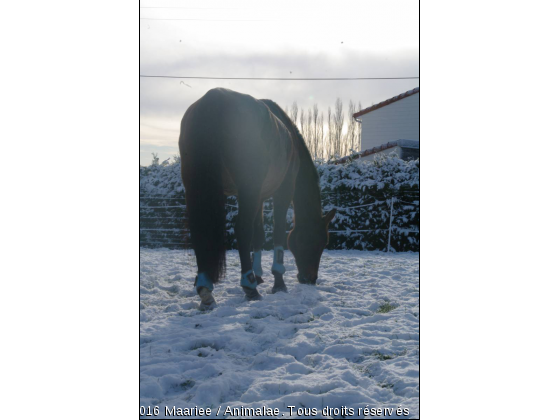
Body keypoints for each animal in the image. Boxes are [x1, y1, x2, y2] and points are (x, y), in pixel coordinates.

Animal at [179, 88, 334, 308]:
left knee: (200, 231)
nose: (310, 279)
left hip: (196, 188)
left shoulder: (259, 197)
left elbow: (259, 234)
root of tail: (215, 98)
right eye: (320, 242)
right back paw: (249, 285)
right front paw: (278, 281)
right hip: (247, 189)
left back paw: (205, 288)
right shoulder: (282, 191)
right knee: (241, 229)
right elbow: (276, 232)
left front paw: (259, 275)